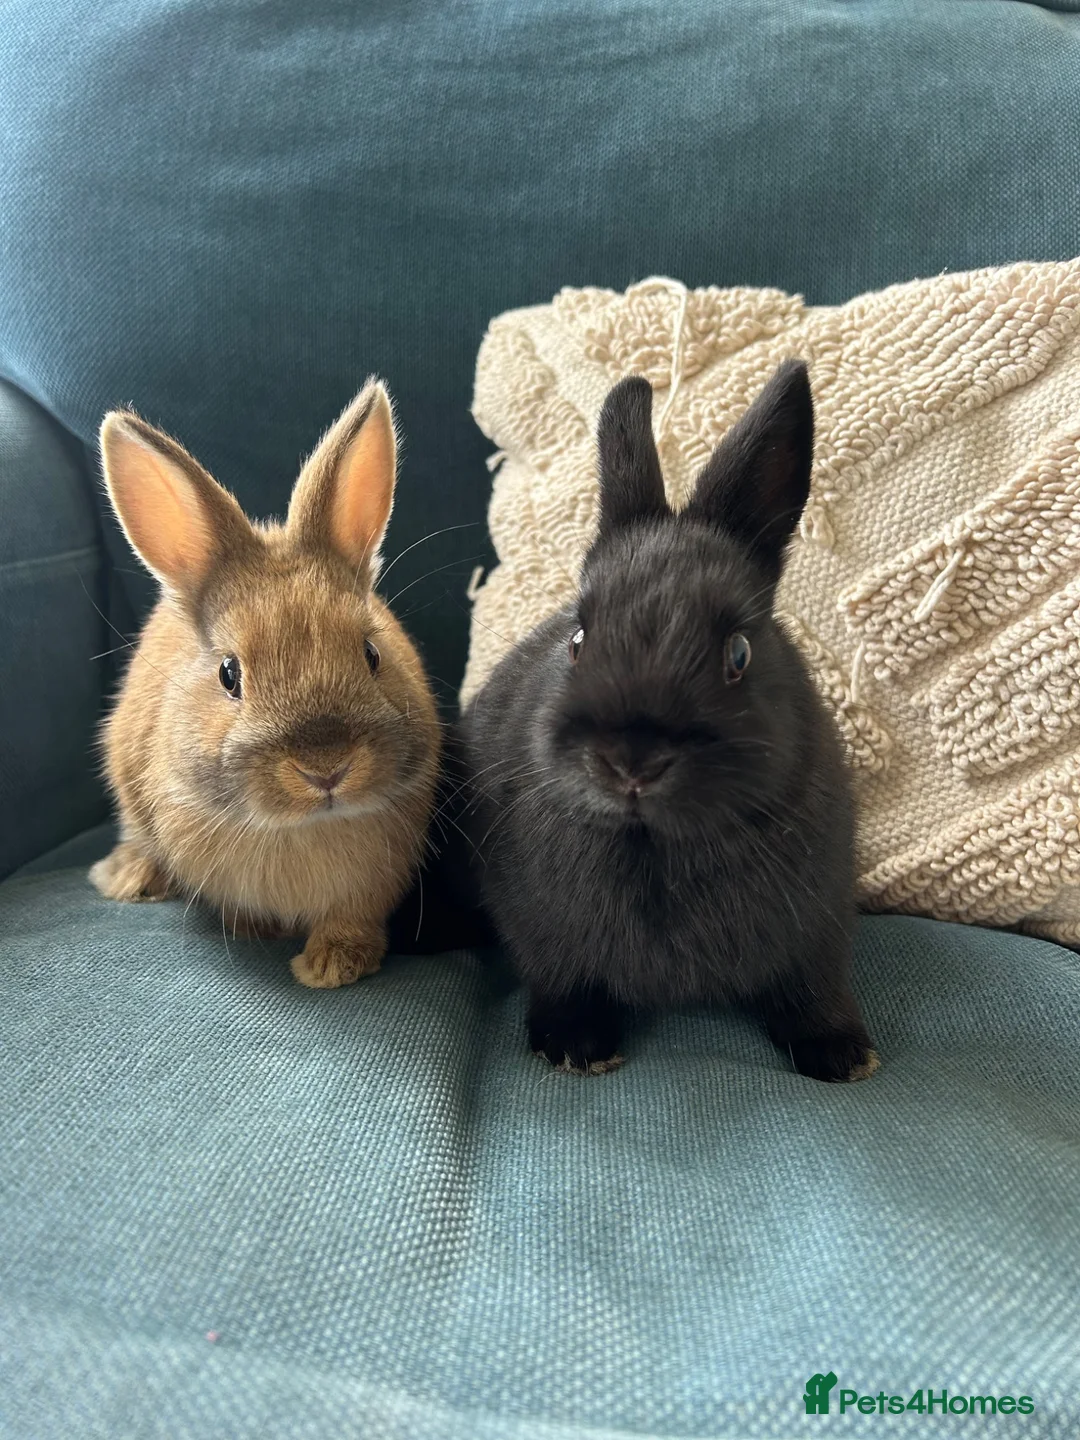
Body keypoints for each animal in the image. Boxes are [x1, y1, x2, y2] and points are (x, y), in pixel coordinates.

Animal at [89, 378, 441, 989]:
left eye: (372, 653)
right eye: (229, 674)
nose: (325, 768)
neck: (304, 826)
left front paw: (332, 965)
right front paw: (264, 933)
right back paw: (128, 879)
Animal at [462, 361, 878, 1081]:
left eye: (738, 654)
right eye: (578, 639)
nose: (631, 761)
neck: (655, 840)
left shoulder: (819, 925)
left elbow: (813, 987)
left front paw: (843, 1056)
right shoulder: (539, 932)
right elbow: (561, 978)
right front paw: (575, 1047)